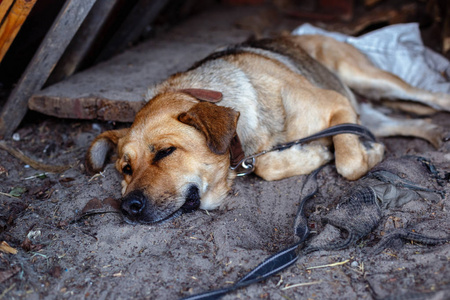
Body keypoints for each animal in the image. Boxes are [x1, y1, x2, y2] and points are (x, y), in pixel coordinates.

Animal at [85, 34, 450, 225]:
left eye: (165, 152)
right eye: (126, 169)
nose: (127, 207)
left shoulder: (336, 105)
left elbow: (348, 163)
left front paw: (358, 154)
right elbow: (266, 166)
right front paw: (315, 154)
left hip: (367, 78)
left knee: (427, 96)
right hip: (368, 109)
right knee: (400, 122)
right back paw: (433, 134)